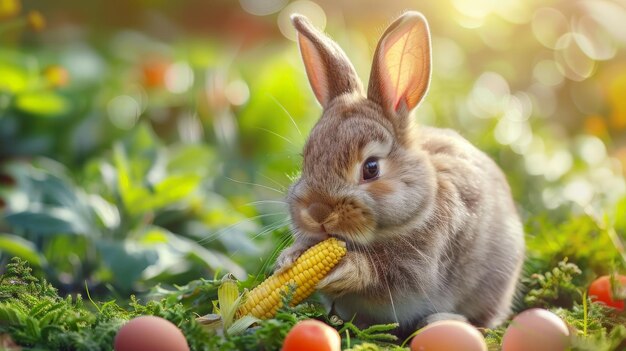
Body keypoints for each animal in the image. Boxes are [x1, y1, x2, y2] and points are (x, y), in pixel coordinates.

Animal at [276, 11, 524, 338]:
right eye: (306, 159)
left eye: (371, 168)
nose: (317, 212)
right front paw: (288, 259)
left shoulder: (417, 264)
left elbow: (379, 273)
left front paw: (345, 268)